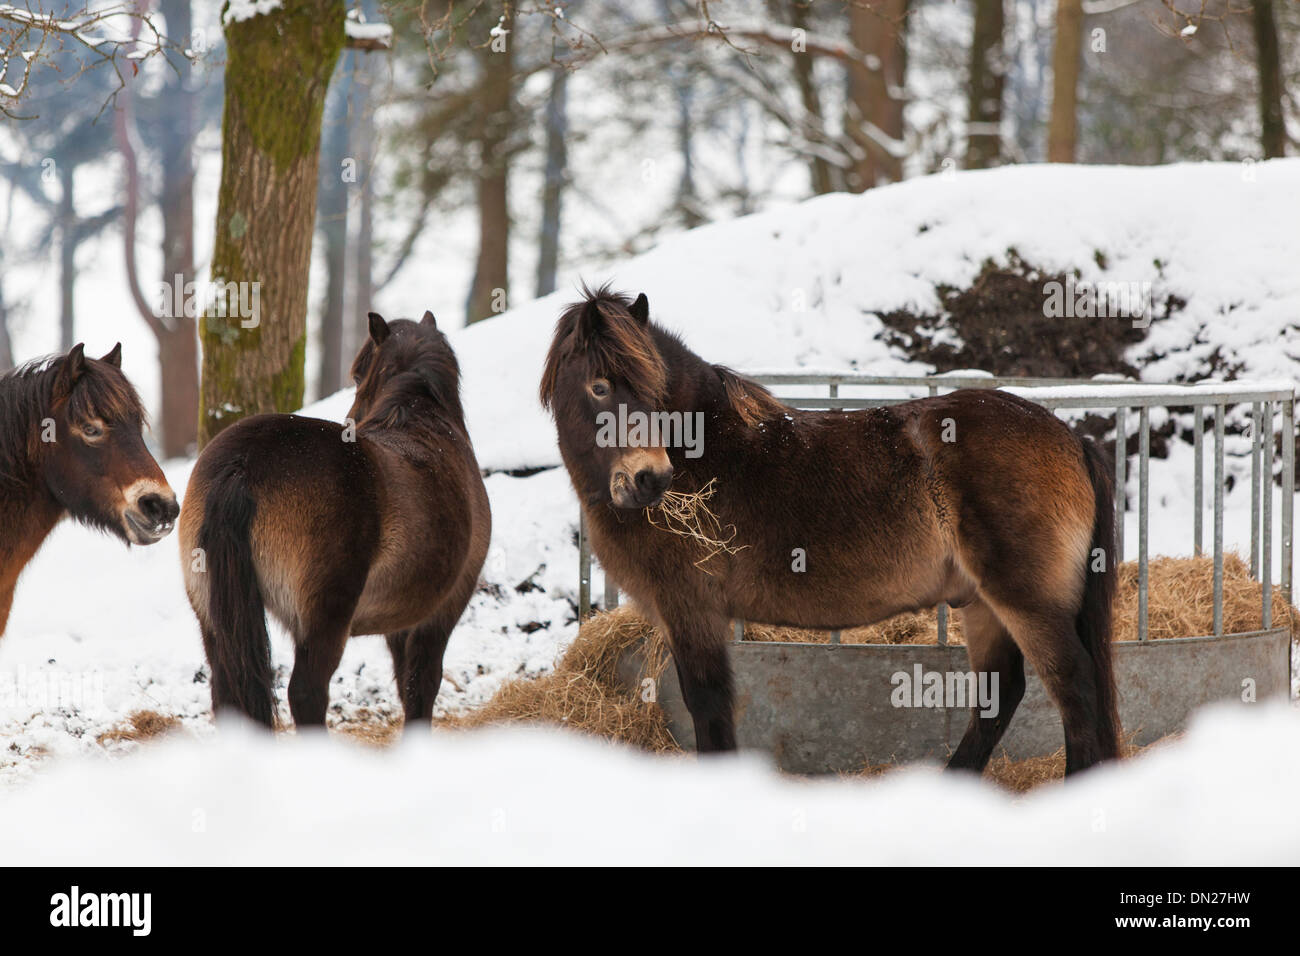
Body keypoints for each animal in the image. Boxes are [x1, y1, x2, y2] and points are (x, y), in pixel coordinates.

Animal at [543, 286, 1123, 780]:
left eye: (653, 390)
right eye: (599, 387)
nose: (651, 478)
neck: (707, 449)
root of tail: (1070, 436)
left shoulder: (692, 608)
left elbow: (708, 707)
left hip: (1026, 600)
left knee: (1074, 685)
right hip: (981, 602)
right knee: (1000, 694)